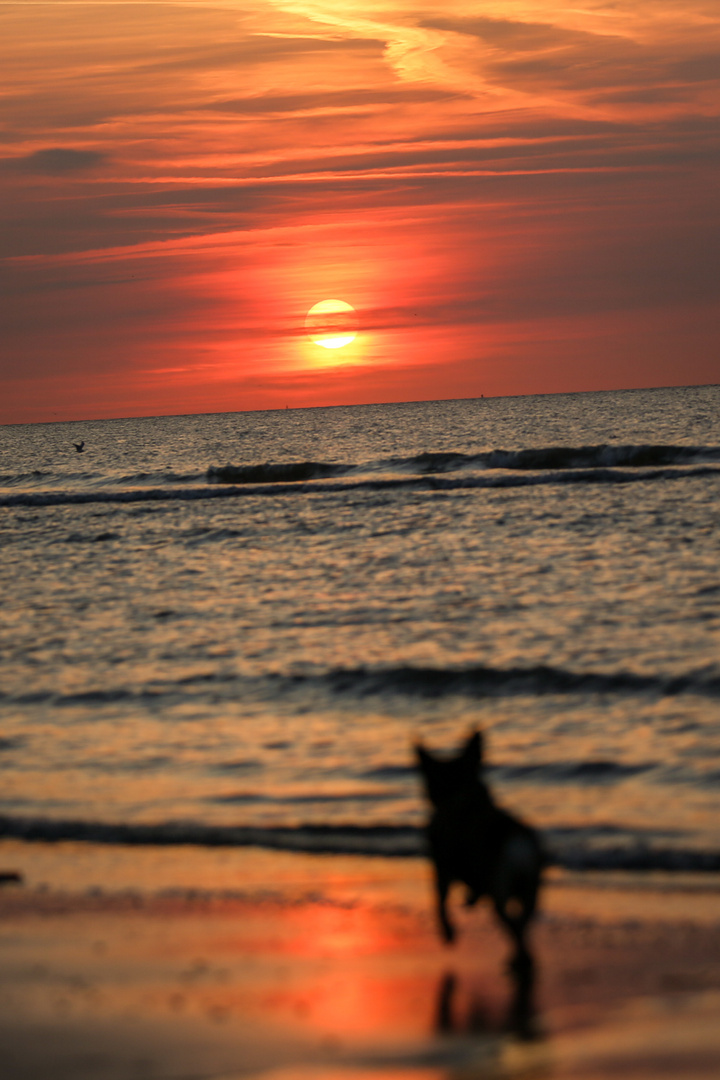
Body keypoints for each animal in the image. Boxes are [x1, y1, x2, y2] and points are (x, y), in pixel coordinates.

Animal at [416, 730, 539, 967]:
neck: (460, 796)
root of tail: (515, 841)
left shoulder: (442, 867)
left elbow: (440, 902)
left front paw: (449, 931)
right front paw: (470, 900)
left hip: (500, 888)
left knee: (513, 925)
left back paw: (518, 959)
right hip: (529, 891)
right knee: (522, 922)